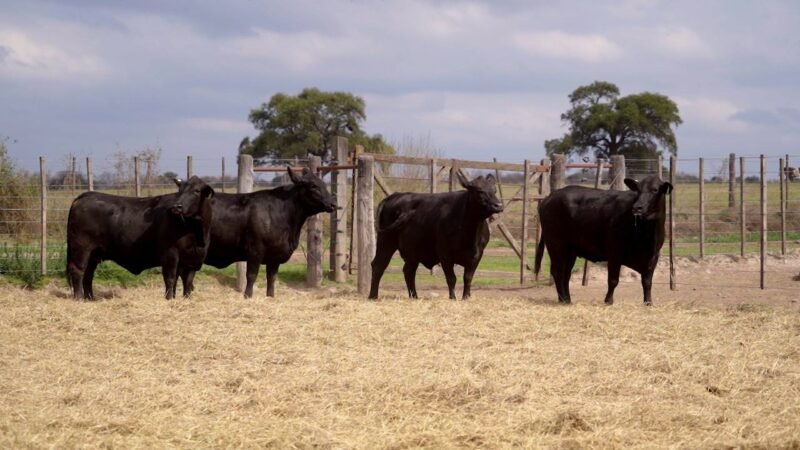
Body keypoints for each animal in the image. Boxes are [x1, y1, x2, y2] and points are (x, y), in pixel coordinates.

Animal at [67, 176, 215, 300]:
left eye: (196, 191)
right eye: (179, 191)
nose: (177, 206)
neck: (194, 231)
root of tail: (86, 195)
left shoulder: (194, 259)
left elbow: (187, 281)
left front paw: (186, 299)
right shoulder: (170, 254)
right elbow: (170, 278)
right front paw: (169, 299)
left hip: (94, 253)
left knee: (88, 274)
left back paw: (90, 298)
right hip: (81, 248)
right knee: (78, 271)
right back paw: (79, 298)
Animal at [203, 167, 336, 298]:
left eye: (323, 184)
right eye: (313, 186)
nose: (333, 204)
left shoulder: (275, 256)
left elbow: (272, 278)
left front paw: (270, 296)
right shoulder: (254, 250)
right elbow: (251, 276)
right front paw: (247, 296)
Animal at [368, 173, 504, 300]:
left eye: (494, 190)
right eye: (480, 191)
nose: (498, 205)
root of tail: (395, 195)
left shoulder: (477, 255)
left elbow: (468, 278)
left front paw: (466, 297)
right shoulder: (445, 254)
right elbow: (451, 278)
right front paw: (453, 298)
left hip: (413, 250)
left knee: (408, 271)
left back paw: (414, 297)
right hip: (386, 241)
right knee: (379, 266)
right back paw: (373, 296)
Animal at [534, 175, 672, 306]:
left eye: (655, 190)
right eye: (637, 190)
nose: (637, 207)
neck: (646, 234)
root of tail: (549, 197)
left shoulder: (653, 256)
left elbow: (647, 282)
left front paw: (648, 302)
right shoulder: (615, 252)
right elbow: (613, 280)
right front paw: (608, 301)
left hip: (570, 251)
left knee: (565, 274)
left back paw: (567, 300)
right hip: (556, 244)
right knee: (557, 272)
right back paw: (563, 299)